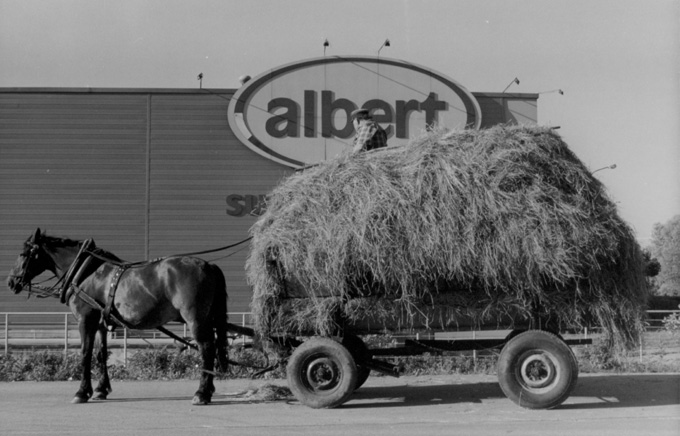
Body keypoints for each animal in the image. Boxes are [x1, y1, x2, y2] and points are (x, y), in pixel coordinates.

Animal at [5, 228, 228, 406]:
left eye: (23, 253)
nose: (10, 282)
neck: (87, 274)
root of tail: (208, 266)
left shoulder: (85, 320)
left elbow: (85, 353)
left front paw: (81, 392)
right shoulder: (101, 323)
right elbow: (101, 354)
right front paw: (100, 390)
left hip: (195, 319)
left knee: (206, 349)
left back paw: (201, 393)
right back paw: (208, 390)